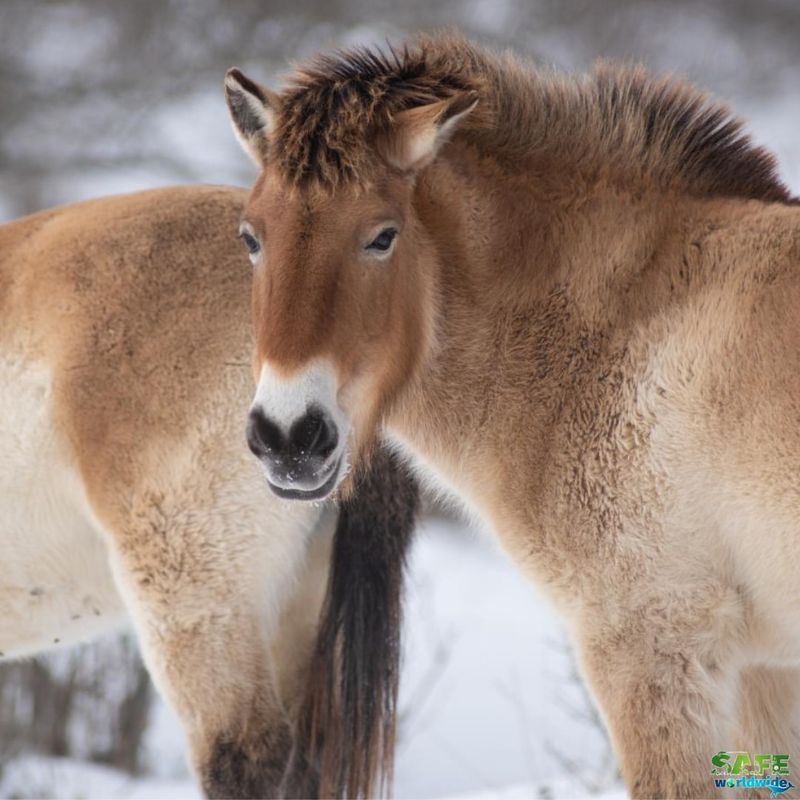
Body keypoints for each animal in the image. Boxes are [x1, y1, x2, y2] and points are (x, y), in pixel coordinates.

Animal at [223, 34, 800, 796]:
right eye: (251, 238)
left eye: (382, 236)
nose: (290, 436)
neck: (621, 328)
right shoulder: (765, 671)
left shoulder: (652, 647)